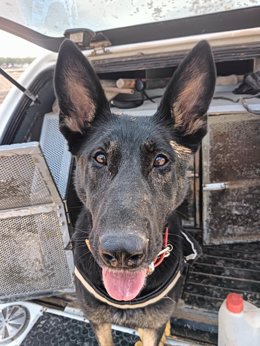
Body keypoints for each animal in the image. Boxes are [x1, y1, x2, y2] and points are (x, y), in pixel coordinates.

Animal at [54, 39, 215, 344]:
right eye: (100, 158)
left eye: (161, 160)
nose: (121, 253)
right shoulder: (98, 322)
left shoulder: (152, 324)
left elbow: (155, 328)